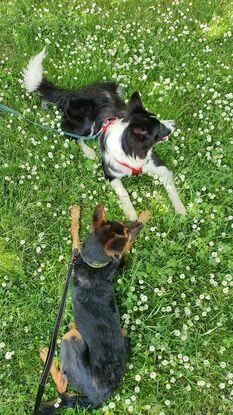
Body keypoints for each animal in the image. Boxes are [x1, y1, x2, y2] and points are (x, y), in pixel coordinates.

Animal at [23, 49, 186, 221]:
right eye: (158, 129)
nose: (174, 124)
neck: (130, 150)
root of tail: (71, 94)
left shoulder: (158, 166)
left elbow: (171, 188)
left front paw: (181, 210)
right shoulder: (109, 173)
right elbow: (123, 191)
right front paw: (131, 213)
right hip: (87, 125)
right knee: (72, 135)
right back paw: (89, 151)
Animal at [38, 206, 144, 414]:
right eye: (124, 228)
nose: (140, 224)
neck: (93, 263)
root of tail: (99, 397)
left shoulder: (81, 252)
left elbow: (74, 234)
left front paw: (75, 213)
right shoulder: (119, 258)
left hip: (70, 339)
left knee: (62, 385)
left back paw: (46, 355)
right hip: (123, 332)